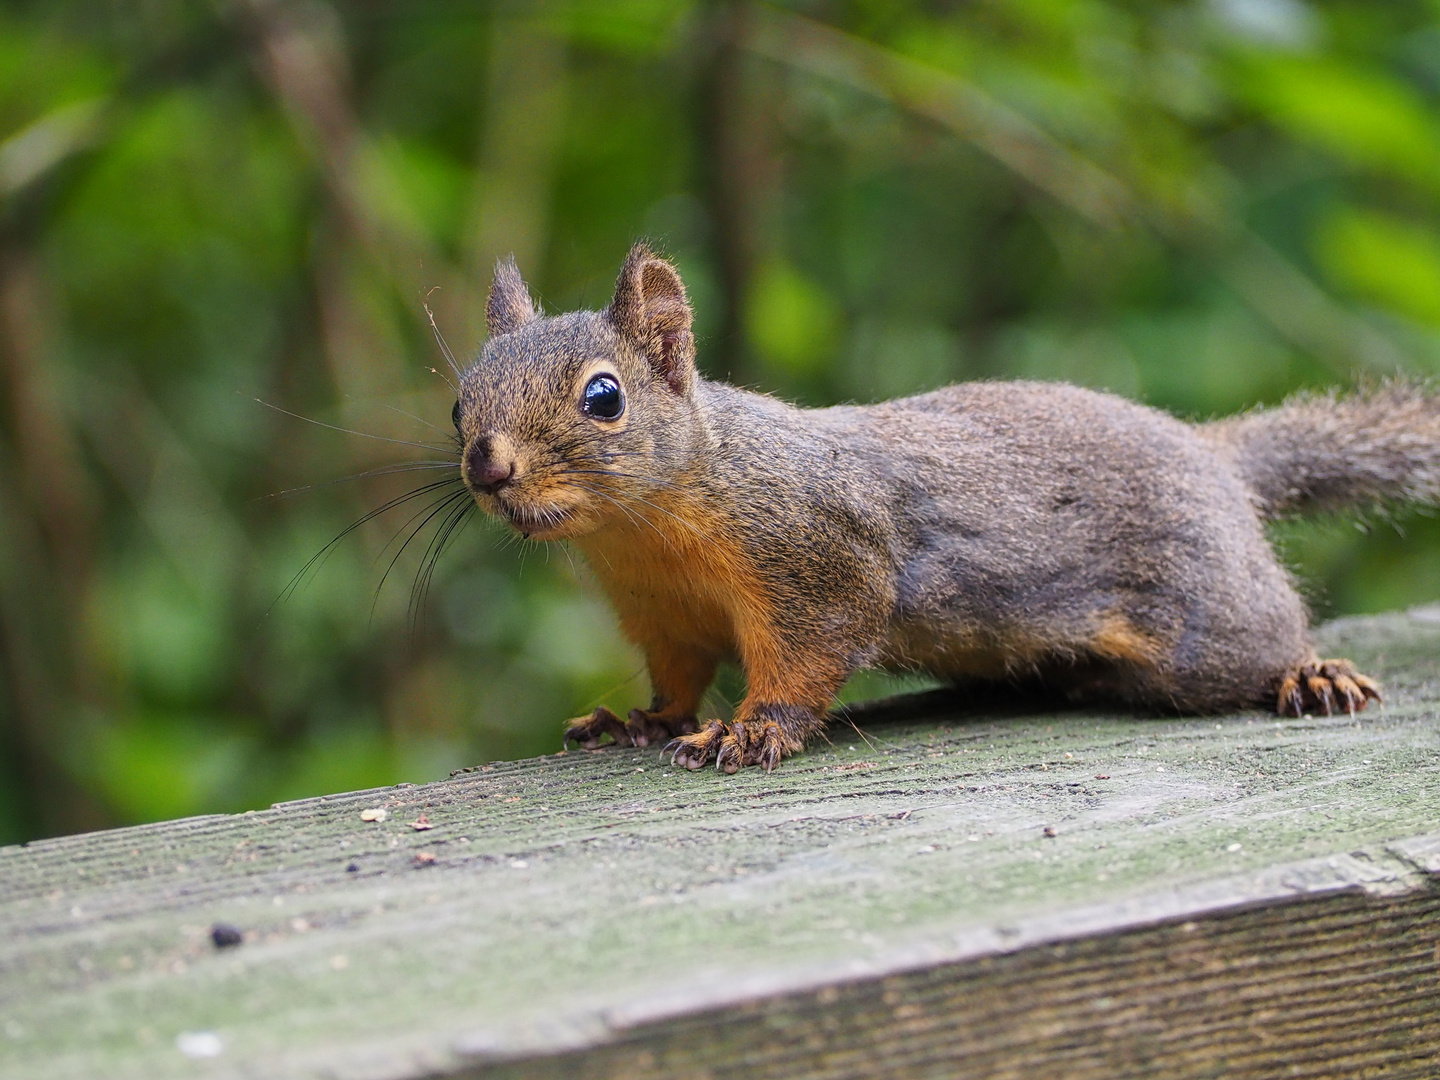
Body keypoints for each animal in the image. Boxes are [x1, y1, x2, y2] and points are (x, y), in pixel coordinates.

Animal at [452, 240, 1440, 771]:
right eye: (461, 401)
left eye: (605, 397)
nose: (486, 467)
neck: (647, 530)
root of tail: (1211, 454)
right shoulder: (663, 612)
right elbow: (679, 675)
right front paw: (645, 721)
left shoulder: (819, 556)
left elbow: (807, 657)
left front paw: (753, 729)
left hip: (1204, 618)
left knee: (1265, 631)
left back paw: (1308, 673)